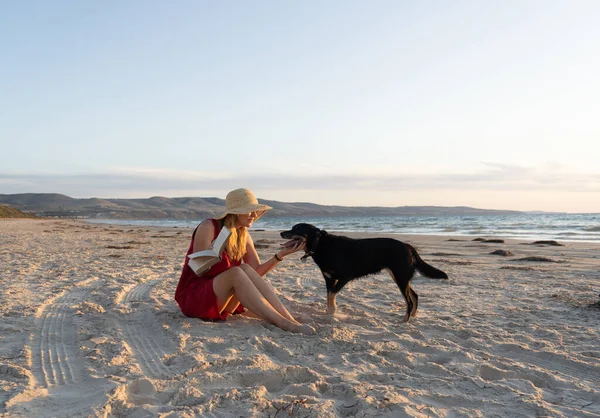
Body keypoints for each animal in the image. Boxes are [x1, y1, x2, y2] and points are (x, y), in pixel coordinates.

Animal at [280, 224, 446, 322]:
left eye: (297, 230)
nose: (281, 233)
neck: (320, 244)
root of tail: (409, 246)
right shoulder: (329, 279)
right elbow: (329, 297)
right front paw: (330, 313)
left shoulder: (344, 277)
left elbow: (332, 295)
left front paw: (332, 312)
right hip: (400, 277)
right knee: (414, 296)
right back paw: (412, 317)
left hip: (400, 278)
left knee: (410, 301)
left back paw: (404, 321)